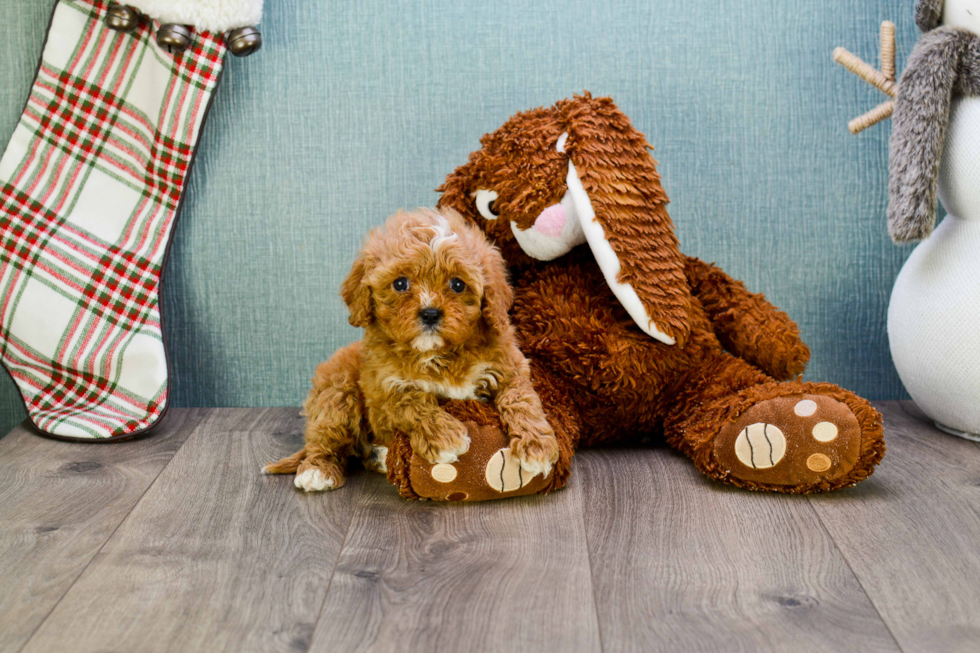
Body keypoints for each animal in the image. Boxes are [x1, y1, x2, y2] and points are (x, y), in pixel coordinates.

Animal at [266, 208, 560, 488]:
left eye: (457, 284)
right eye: (400, 283)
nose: (430, 313)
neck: (437, 354)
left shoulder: (510, 367)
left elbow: (521, 399)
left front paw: (538, 445)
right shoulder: (382, 388)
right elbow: (410, 401)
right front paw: (445, 438)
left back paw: (379, 457)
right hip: (337, 394)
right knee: (325, 438)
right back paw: (318, 471)